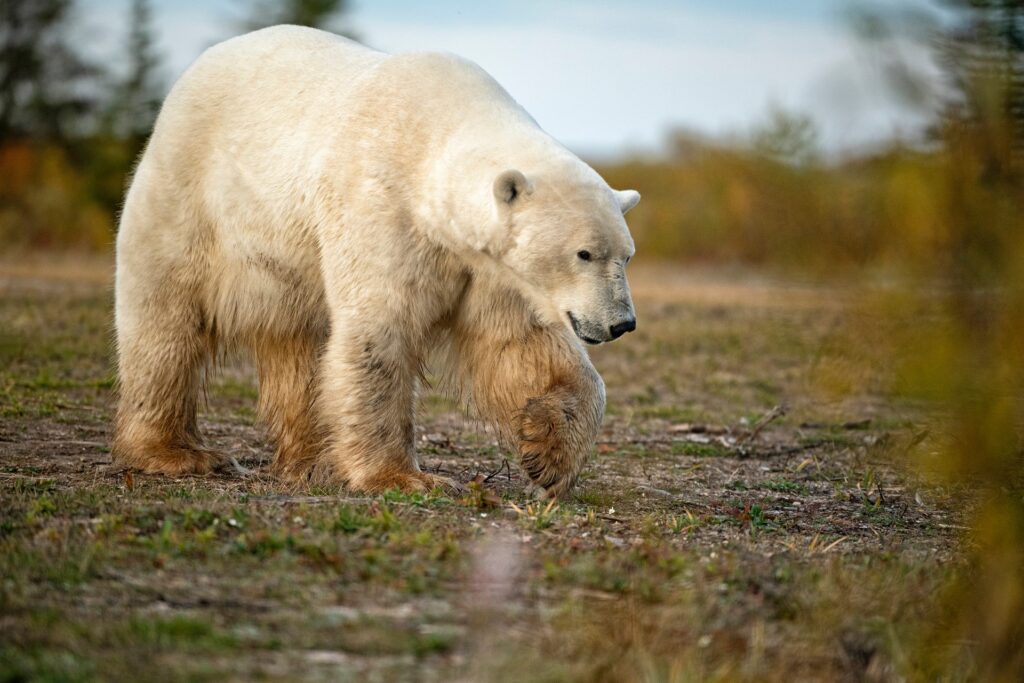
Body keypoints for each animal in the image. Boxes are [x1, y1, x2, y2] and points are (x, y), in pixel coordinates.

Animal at [112, 25, 640, 497]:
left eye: (626, 255)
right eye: (584, 253)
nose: (622, 322)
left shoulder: (489, 269)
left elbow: (518, 343)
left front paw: (548, 455)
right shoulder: (381, 206)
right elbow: (379, 332)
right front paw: (403, 477)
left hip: (288, 262)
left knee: (299, 342)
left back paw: (310, 461)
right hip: (189, 195)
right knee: (164, 321)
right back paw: (176, 452)